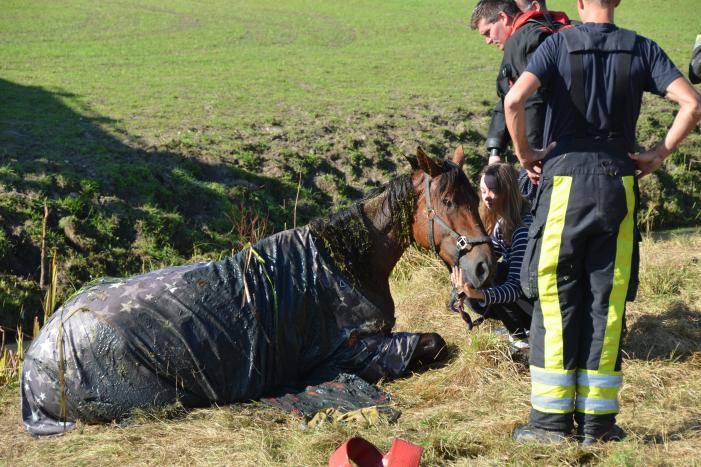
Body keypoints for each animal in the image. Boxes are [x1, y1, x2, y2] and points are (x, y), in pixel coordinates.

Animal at [20, 146, 494, 436]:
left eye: (476, 196)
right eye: (448, 202)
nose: (484, 266)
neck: (340, 261)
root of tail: (33, 362)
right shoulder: (351, 350)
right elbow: (432, 341)